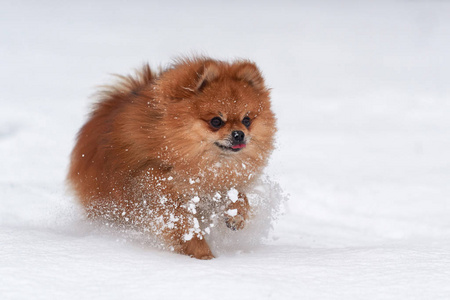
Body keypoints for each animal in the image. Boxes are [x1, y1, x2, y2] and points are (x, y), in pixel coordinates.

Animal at [67, 57, 276, 258]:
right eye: (216, 121)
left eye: (246, 120)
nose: (239, 134)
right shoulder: (163, 194)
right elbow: (186, 228)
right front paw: (203, 256)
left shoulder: (215, 187)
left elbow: (240, 197)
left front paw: (236, 216)